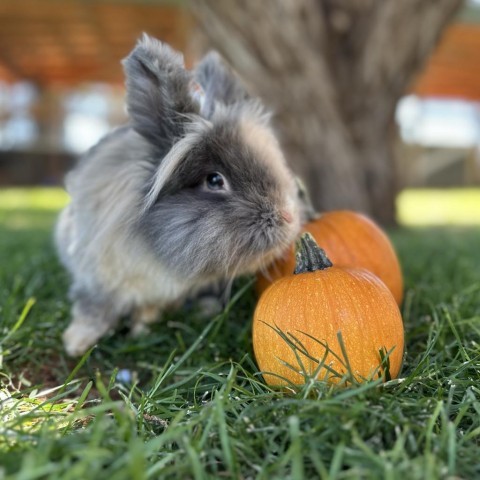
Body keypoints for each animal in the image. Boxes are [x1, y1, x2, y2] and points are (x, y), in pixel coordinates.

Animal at [55, 34, 300, 356]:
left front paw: (142, 330)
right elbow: (93, 311)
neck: (155, 251)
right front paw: (76, 344)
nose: (288, 216)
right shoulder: (97, 281)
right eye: (214, 180)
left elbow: (147, 311)